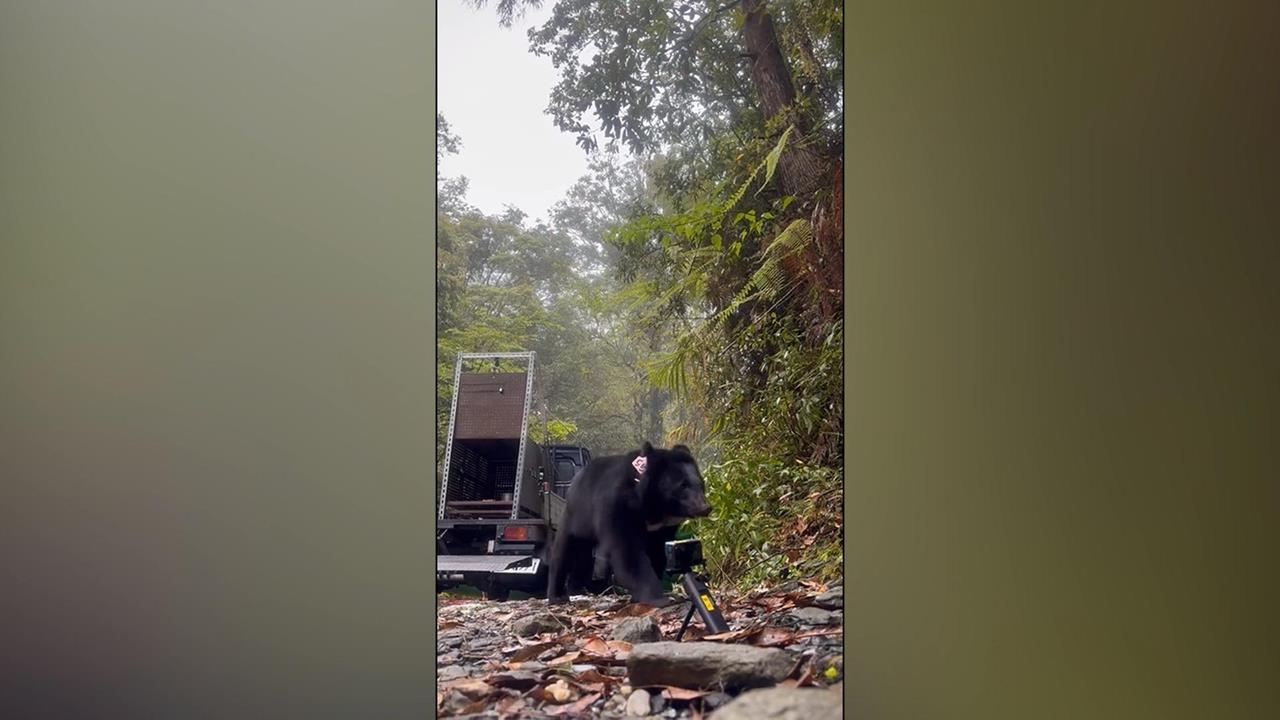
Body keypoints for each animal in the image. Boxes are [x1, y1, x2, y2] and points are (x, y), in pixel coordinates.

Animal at [547, 442, 711, 605]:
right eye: (683, 485)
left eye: (701, 484)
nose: (706, 507)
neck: (654, 507)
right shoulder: (617, 507)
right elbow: (628, 554)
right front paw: (661, 598)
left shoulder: (662, 529)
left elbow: (657, 552)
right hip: (576, 517)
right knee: (564, 552)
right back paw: (558, 596)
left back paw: (578, 590)